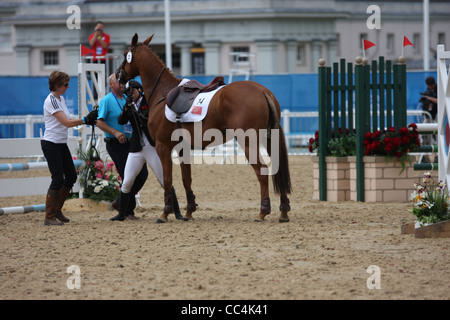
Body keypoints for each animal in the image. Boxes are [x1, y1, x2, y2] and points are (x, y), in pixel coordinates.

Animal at [116, 33, 292, 222]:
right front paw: (189, 211)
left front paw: (164, 213)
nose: (118, 76)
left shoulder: (163, 147)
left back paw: (262, 212)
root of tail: (262, 91)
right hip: (269, 139)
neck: (163, 93)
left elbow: (168, 180)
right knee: (277, 169)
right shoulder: (182, 147)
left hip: (248, 142)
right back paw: (283, 211)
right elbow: (186, 178)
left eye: (126, 54)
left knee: (262, 171)